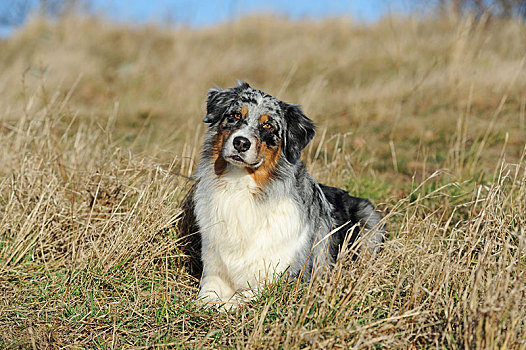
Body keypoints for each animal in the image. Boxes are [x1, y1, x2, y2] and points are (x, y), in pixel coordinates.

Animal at [192, 80, 386, 308]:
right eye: (235, 115)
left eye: (268, 125)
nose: (240, 142)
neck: (241, 186)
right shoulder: (214, 271)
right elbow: (206, 294)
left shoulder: (283, 279)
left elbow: (240, 298)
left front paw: (225, 304)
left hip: (369, 220)